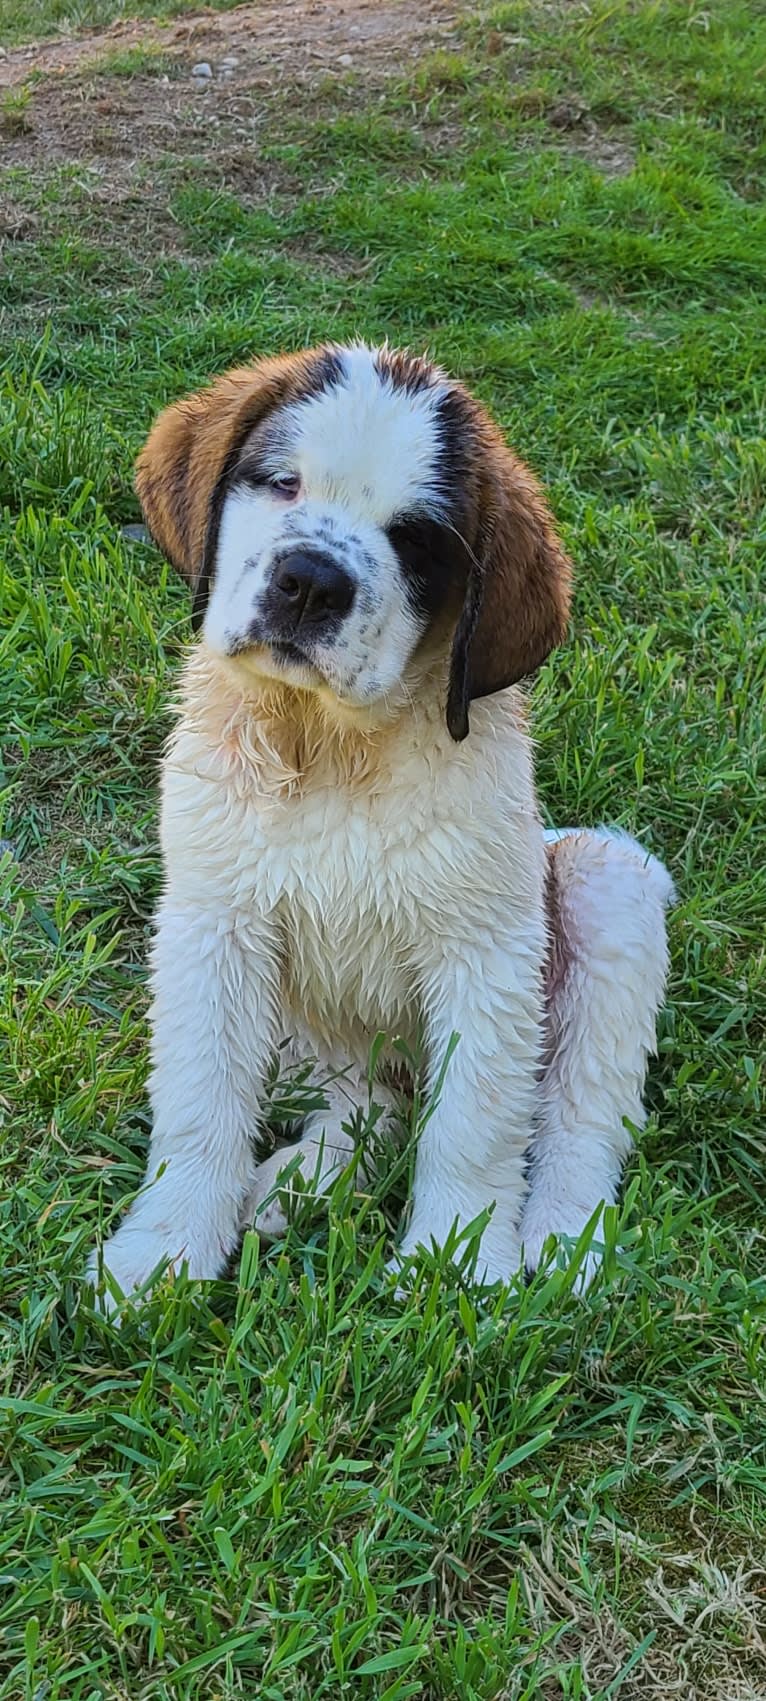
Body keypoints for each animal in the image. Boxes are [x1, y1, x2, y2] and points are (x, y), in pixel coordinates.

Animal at [89, 341, 674, 1299]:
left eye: (414, 539)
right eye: (280, 483)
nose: (310, 581)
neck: (330, 746)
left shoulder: (488, 952)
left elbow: (475, 1123)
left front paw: (453, 1267)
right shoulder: (216, 924)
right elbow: (200, 1100)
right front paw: (163, 1253)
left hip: (607, 882)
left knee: (577, 1117)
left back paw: (565, 1238)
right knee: (375, 1104)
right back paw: (292, 1184)